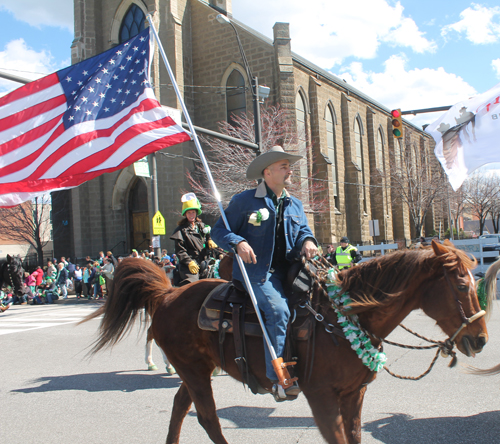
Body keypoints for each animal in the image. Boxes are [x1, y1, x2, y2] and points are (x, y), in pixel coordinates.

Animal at [83, 241, 492, 442]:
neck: (342, 318)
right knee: (208, 418)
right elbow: (337, 437)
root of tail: (167, 293)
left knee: (181, 407)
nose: (481, 339)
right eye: (460, 285)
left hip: (198, 369)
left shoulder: (354, 395)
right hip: (195, 372)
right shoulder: (321, 397)